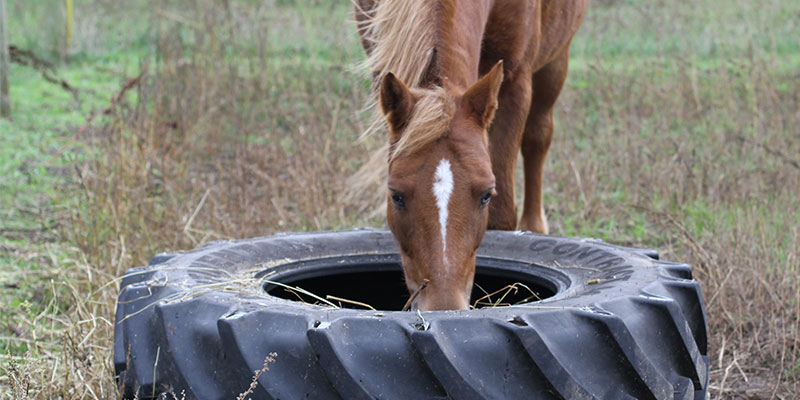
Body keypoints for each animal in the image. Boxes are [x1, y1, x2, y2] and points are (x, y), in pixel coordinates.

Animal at [354, 0, 592, 310]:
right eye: (395, 195)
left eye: (486, 195)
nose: (444, 307)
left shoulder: (515, 80)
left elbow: (503, 215)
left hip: (555, 60)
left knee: (538, 136)